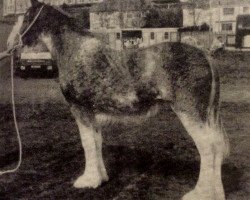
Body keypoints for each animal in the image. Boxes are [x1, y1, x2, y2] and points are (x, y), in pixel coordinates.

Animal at [7, 0, 230, 199]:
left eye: (26, 17)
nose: (11, 44)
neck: (75, 51)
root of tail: (205, 55)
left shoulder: (80, 109)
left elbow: (87, 143)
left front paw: (87, 181)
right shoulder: (91, 114)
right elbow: (96, 142)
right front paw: (100, 178)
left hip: (190, 113)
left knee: (208, 148)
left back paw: (200, 193)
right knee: (216, 147)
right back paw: (216, 193)